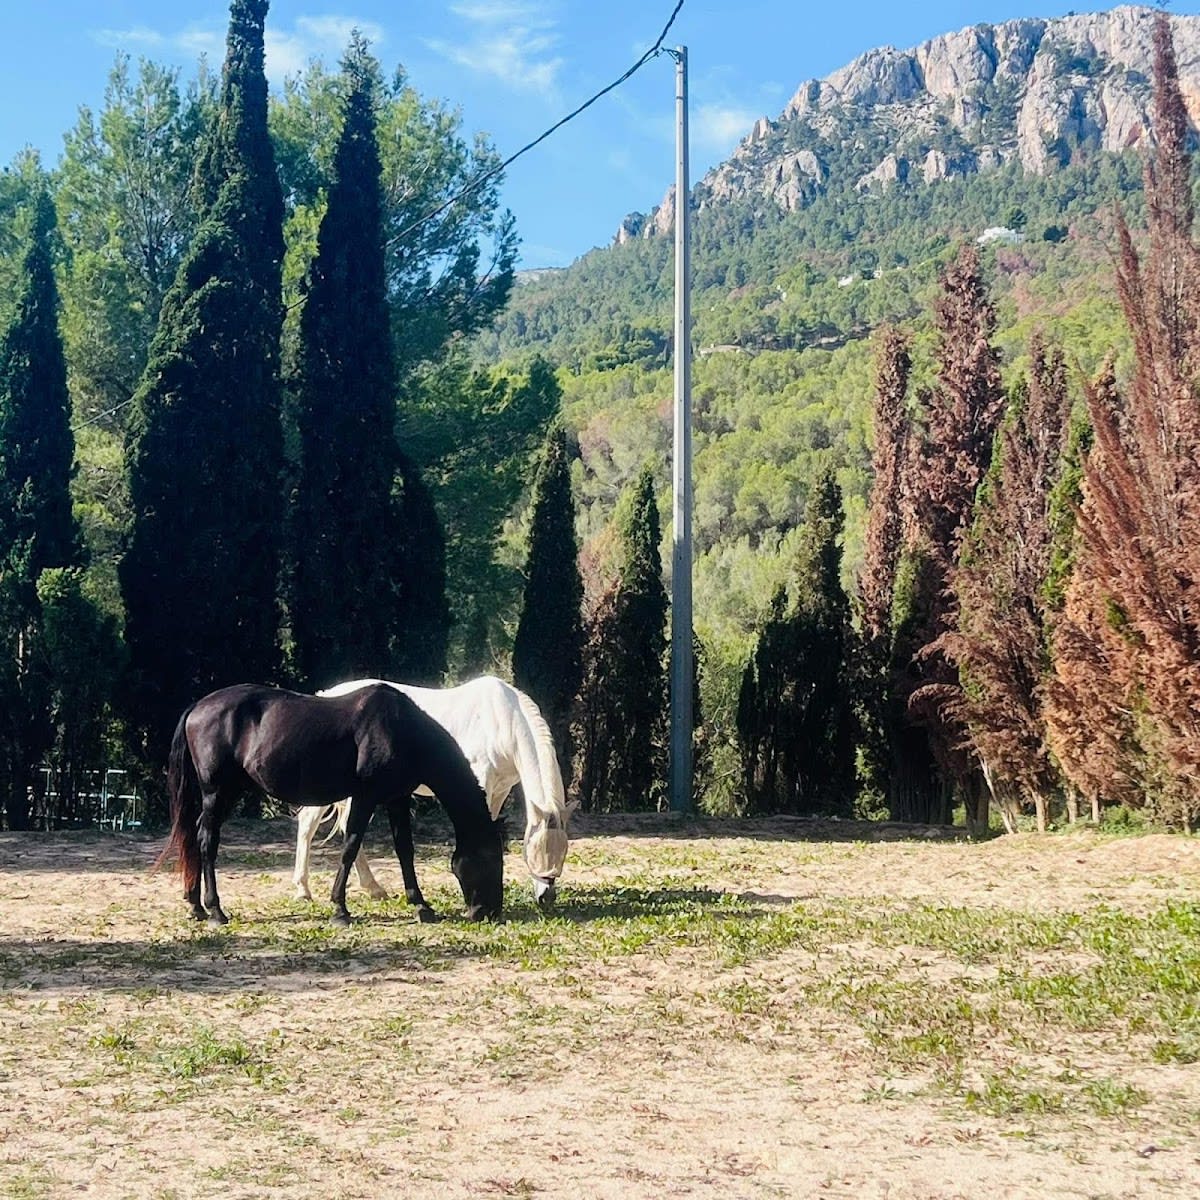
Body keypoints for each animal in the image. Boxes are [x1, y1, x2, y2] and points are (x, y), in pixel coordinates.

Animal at [160, 683, 505, 926]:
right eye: (490, 859)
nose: (487, 912)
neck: (401, 730)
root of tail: (197, 707)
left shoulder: (396, 799)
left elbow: (405, 851)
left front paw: (420, 905)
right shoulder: (366, 797)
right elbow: (350, 845)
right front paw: (340, 909)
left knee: (195, 838)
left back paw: (195, 906)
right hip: (218, 793)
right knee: (207, 841)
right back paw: (216, 910)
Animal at [293, 676, 573, 910]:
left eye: (563, 851)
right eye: (536, 850)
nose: (546, 897)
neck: (502, 720)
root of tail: (327, 694)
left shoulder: (501, 789)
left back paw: (374, 888)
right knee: (308, 824)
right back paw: (303, 890)